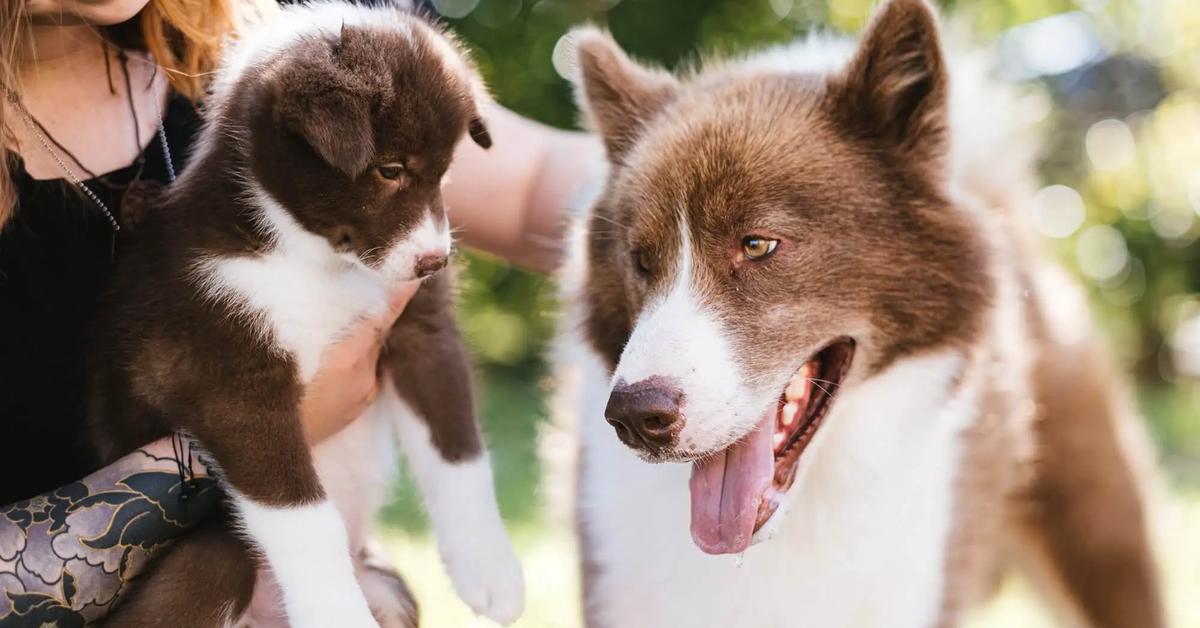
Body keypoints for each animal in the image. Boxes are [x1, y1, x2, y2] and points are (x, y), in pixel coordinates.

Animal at [90, 2, 525, 624]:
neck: (312, 257)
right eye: (389, 170)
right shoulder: (231, 378)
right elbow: (304, 518)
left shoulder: (420, 328)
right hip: (212, 555)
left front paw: (491, 572)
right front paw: (336, 611)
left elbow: (458, 447)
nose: (435, 262)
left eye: (445, 172)